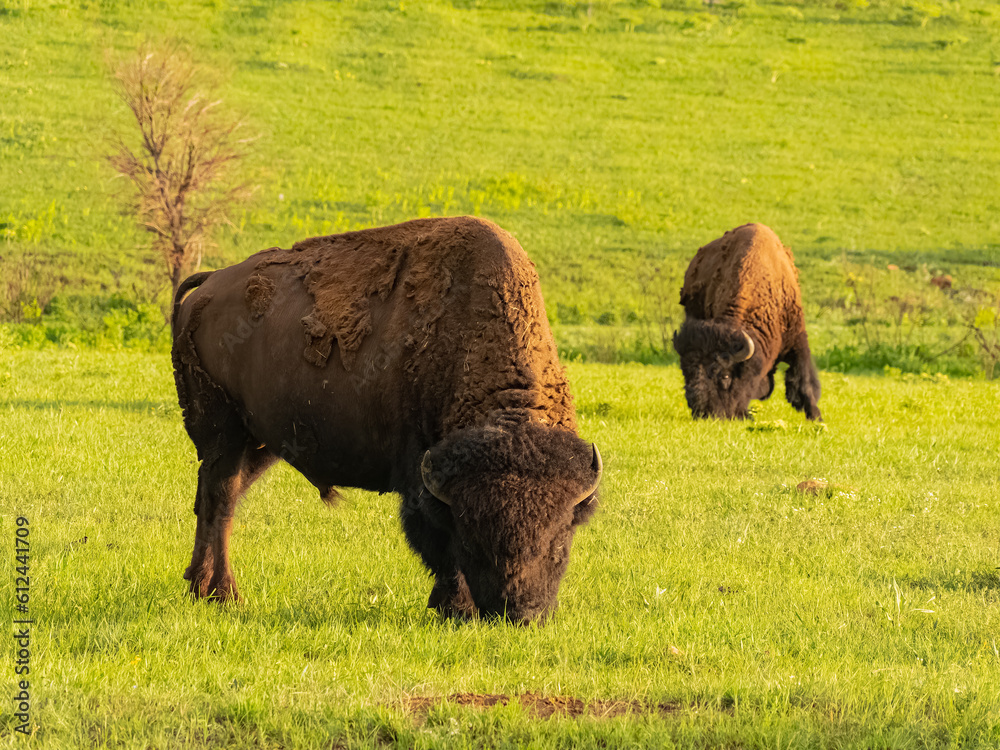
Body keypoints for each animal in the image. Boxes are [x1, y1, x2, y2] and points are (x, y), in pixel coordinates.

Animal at [172, 216, 600, 624]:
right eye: (473, 539)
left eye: (559, 539)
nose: (521, 613)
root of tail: (209, 284)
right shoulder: (421, 480)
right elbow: (441, 550)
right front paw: (456, 609)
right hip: (222, 433)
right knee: (220, 500)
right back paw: (222, 593)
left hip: (260, 440)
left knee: (219, 499)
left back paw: (198, 586)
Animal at [672, 223, 820, 424]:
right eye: (685, 373)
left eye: (725, 375)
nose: (705, 415)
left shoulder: (797, 338)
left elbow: (804, 381)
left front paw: (816, 418)